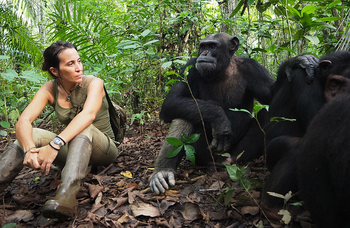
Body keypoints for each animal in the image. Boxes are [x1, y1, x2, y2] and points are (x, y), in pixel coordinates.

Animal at [148, 32, 276, 194]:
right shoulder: (190, 67)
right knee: (185, 116)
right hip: (202, 154)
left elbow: (273, 94)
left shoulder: (254, 68)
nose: (204, 53)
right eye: (203, 46)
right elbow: (172, 101)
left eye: (213, 46)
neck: (223, 70)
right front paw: (220, 119)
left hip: (240, 153)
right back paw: (162, 172)